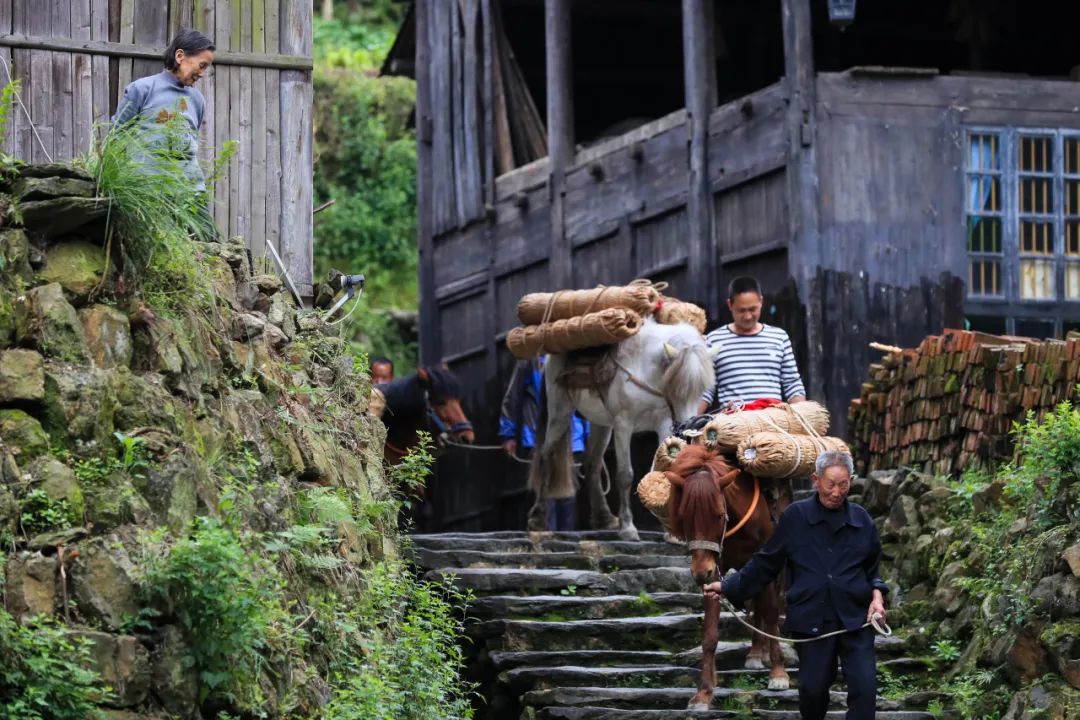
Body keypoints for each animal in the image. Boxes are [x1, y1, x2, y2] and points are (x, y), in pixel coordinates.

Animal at [524, 321, 712, 539]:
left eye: (702, 390)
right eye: (676, 388)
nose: (689, 427)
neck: (643, 369)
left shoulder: (663, 423)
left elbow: (665, 470)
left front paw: (670, 532)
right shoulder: (624, 424)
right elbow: (625, 475)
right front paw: (628, 528)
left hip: (602, 423)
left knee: (592, 463)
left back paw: (604, 518)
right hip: (560, 412)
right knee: (547, 454)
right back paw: (538, 520)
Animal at [660, 444, 790, 708]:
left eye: (719, 514)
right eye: (685, 517)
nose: (700, 572)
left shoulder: (765, 558)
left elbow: (772, 613)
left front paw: (779, 674)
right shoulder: (714, 569)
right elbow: (710, 633)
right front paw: (703, 692)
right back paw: (755, 652)